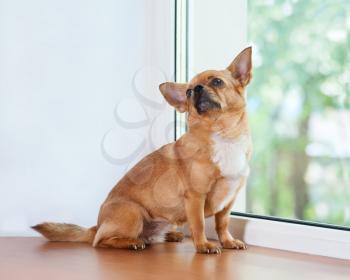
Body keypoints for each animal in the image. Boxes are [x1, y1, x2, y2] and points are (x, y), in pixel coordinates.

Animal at [33, 47, 252, 254]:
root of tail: (96, 226)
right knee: (101, 241)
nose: (196, 89)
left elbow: (222, 224)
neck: (223, 135)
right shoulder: (195, 197)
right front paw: (203, 245)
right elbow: (198, 224)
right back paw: (131, 243)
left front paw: (228, 242)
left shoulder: (228, 202)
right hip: (133, 213)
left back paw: (170, 235)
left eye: (217, 82)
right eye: (188, 92)